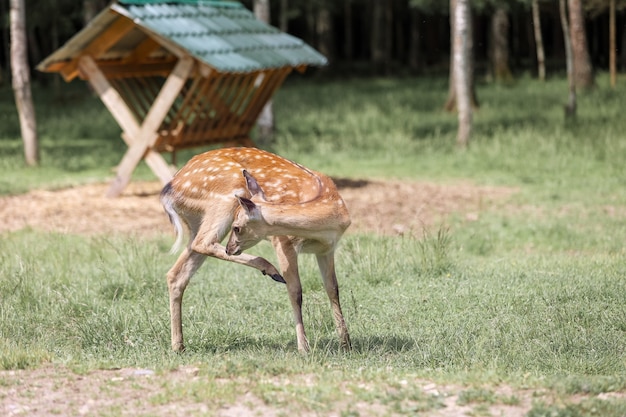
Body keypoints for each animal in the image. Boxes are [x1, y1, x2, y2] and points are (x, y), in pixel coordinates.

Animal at [160, 146, 352, 352]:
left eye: (237, 228)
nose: (229, 248)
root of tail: (169, 189)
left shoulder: (326, 249)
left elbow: (333, 289)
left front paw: (346, 343)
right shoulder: (283, 242)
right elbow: (295, 291)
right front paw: (304, 348)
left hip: (197, 222)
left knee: (176, 273)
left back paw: (178, 346)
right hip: (223, 199)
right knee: (203, 242)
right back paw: (271, 270)